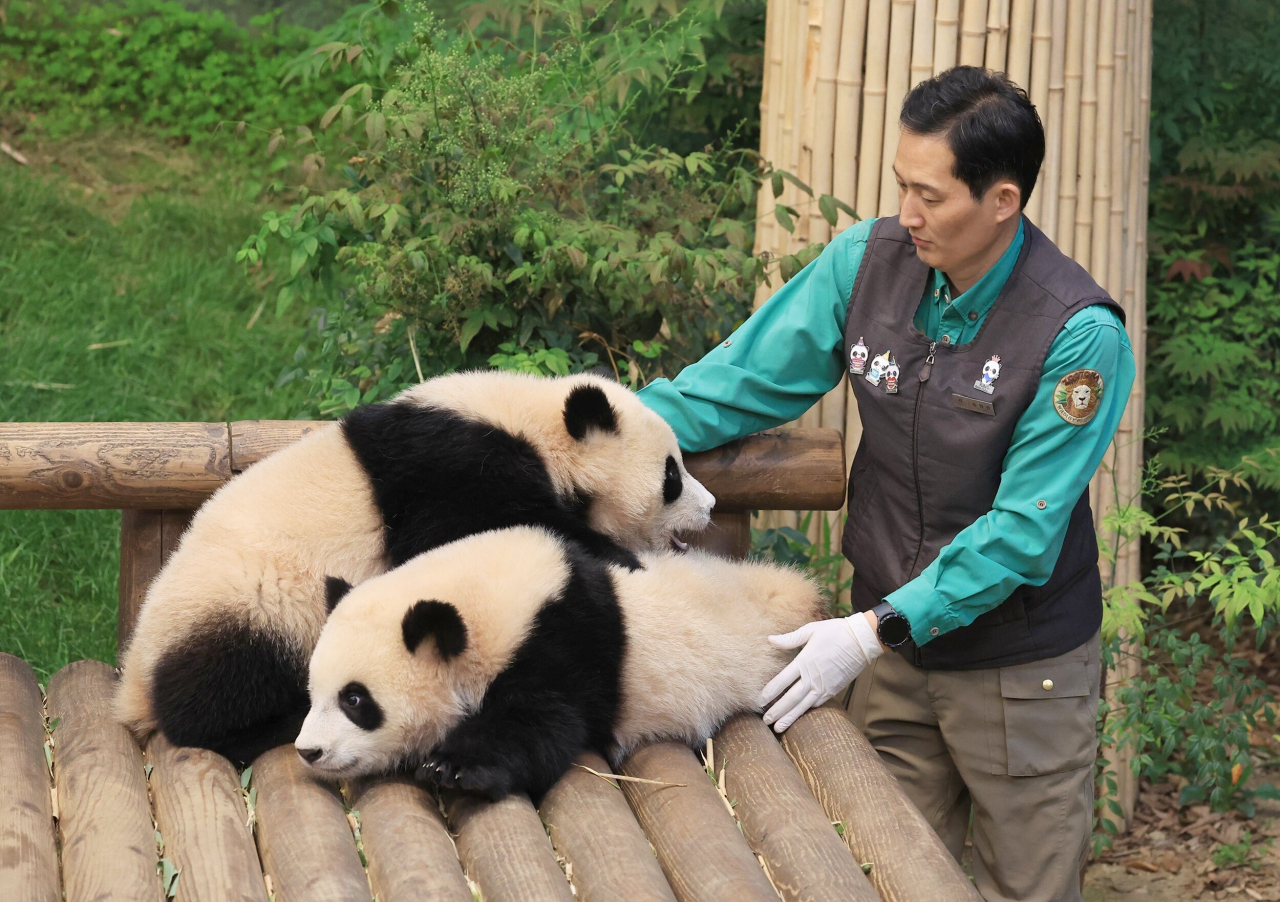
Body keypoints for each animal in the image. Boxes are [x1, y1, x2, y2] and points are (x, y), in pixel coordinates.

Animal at [115, 368, 716, 762]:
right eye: (672, 475)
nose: (709, 507)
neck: (529, 420)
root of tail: (133, 677)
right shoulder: (452, 465)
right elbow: (475, 529)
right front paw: (617, 555)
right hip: (251, 603)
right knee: (217, 690)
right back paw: (273, 721)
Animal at [294, 524, 824, 798]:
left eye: (355, 699)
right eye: (313, 693)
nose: (308, 751)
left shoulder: (561, 640)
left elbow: (542, 721)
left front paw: (452, 767)